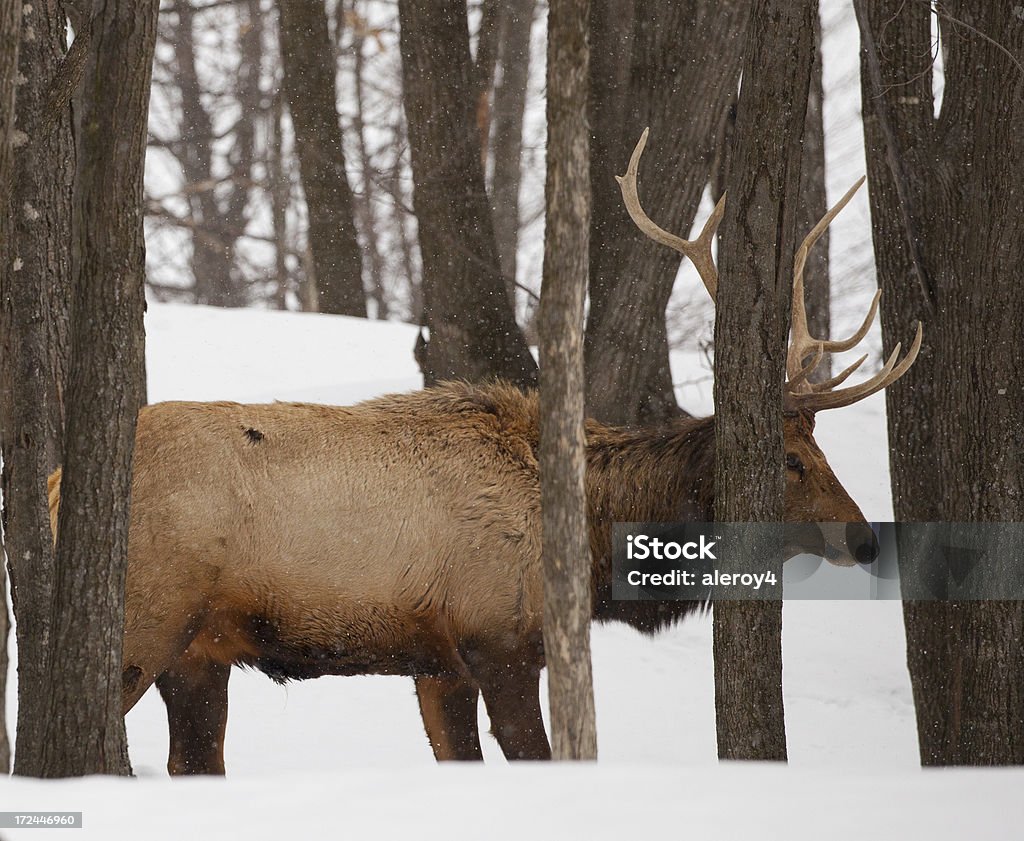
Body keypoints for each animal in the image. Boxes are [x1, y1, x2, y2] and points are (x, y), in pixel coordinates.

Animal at [48, 129, 925, 766]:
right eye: (791, 458)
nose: (864, 536)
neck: (595, 541)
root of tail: (56, 483)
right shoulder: (500, 636)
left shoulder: (436, 660)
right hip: (146, 618)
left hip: (199, 652)